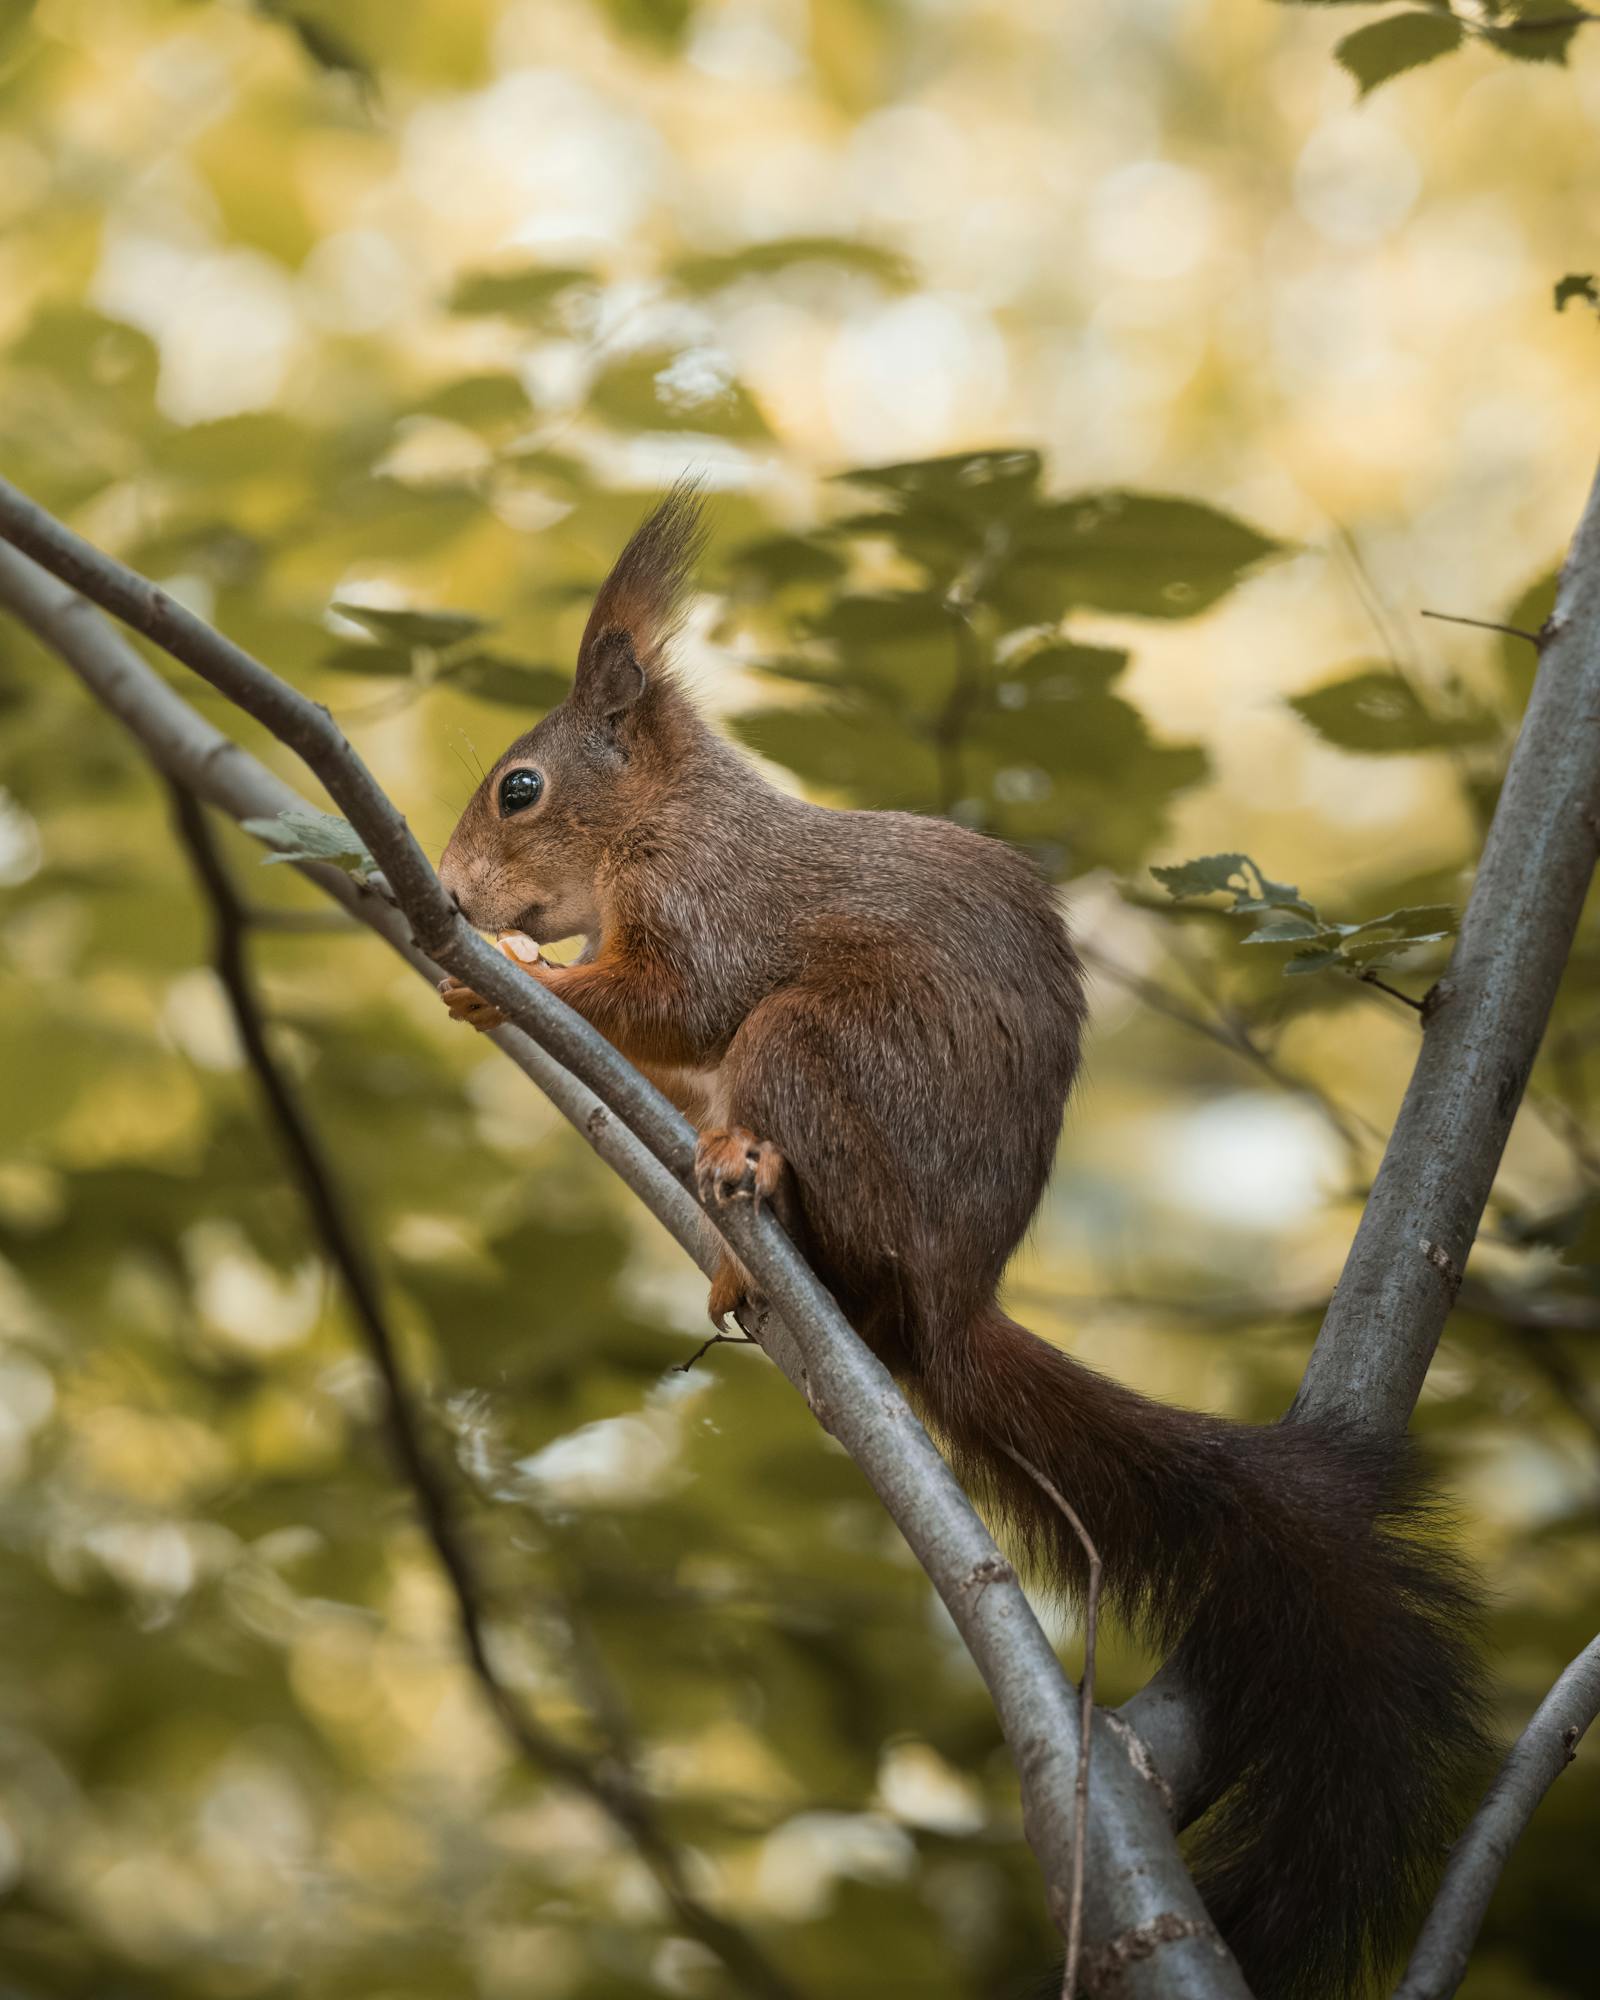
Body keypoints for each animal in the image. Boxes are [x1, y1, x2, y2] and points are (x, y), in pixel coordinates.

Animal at [434, 492, 1488, 1992]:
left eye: (519, 789)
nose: (454, 885)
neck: (670, 820)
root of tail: (952, 1297)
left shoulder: (714, 915)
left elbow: (675, 1002)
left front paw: (518, 979)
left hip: (821, 1052)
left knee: (791, 1122)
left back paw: (750, 1176)